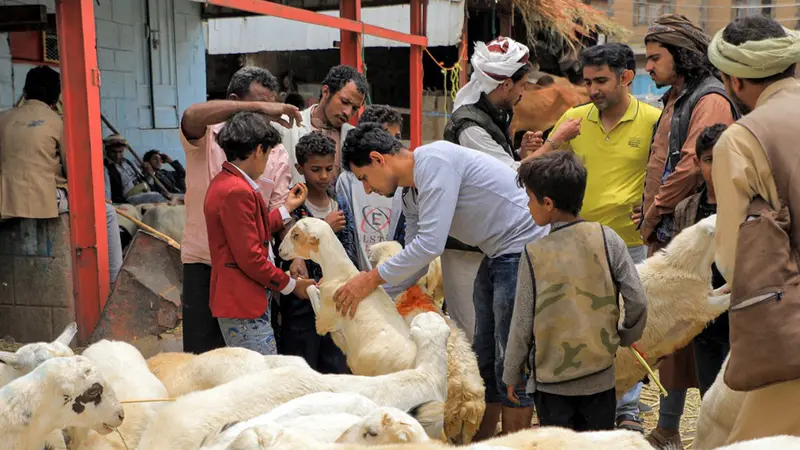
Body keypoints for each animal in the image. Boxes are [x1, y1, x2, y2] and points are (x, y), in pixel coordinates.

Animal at [278, 218, 416, 376]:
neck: (342, 275)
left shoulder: (324, 319)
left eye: (296, 235)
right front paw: (290, 274)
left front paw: (296, 281)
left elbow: (311, 288)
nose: (279, 250)